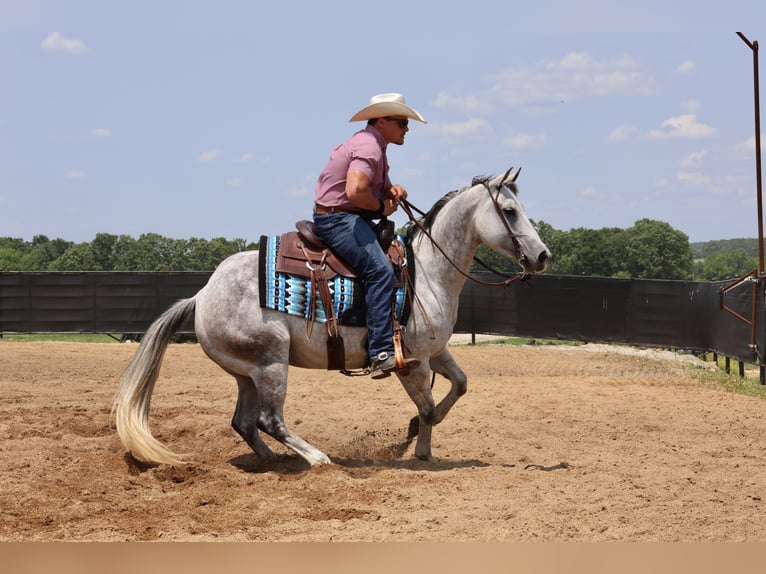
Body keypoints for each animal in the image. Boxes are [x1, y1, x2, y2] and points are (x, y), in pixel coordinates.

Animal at [113, 167, 551, 467]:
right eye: (509, 211)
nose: (542, 255)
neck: (426, 270)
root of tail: (202, 295)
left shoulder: (435, 351)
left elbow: (459, 385)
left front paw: (417, 436)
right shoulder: (411, 362)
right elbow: (427, 407)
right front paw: (418, 448)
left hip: (247, 373)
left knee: (244, 423)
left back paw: (275, 461)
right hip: (272, 362)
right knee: (270, 420)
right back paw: (316, 459)